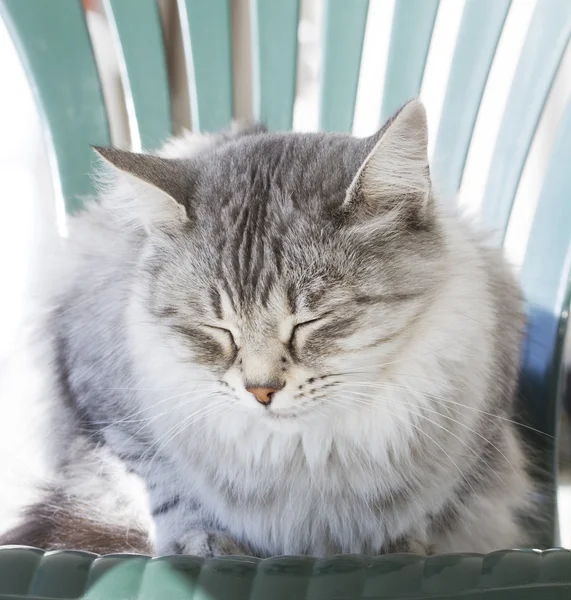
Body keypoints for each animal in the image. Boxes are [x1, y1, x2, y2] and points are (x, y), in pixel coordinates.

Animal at [2, 101, 536, 556]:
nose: (261, 391)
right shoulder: (112, 416)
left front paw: (400, 548)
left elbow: (426, 517)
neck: (304, 459)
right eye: (217, 328)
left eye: (311, 321)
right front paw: (203, 543)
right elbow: (168, 489)